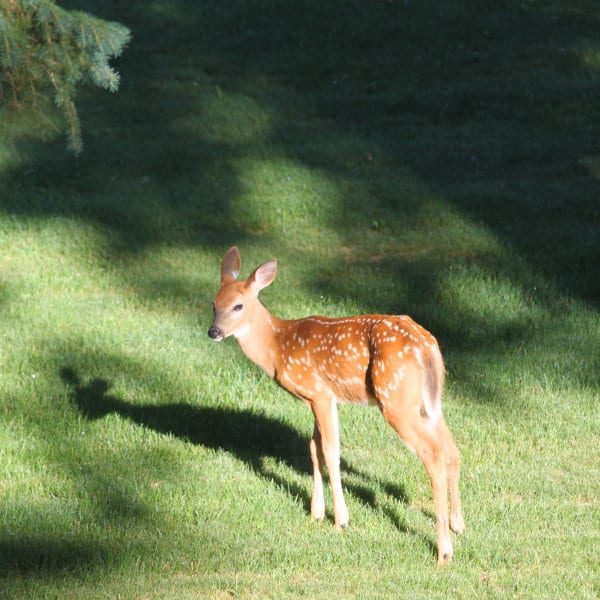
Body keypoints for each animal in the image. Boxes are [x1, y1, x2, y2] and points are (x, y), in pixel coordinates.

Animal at [209, 246, 466, 564]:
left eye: (238, 306)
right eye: (214, 304)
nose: (213, 332)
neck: (276, 346)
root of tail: (427, 346)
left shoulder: (319, 393)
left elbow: (331, 452)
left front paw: (340, 519)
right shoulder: (318, 397)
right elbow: (314, 447)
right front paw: (316, 512)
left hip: (396, 400)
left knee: (433, 453)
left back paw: (444, 551)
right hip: (428, 402)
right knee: (451, 448)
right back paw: (458, 525)